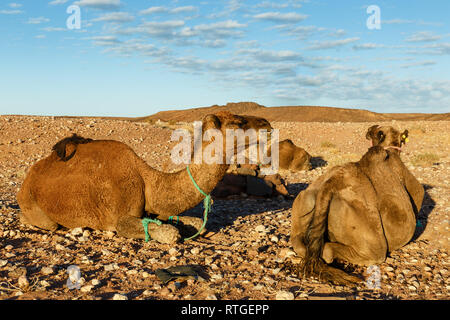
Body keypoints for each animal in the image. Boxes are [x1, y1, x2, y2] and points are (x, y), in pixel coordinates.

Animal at [16, 111, 268, 244]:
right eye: (237, 123)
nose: (266, 123)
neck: (150, 182)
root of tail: (26, 180)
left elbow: (195, 224)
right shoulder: (120, 217)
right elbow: (170, 233)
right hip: (34, 207)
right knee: (43, 222)